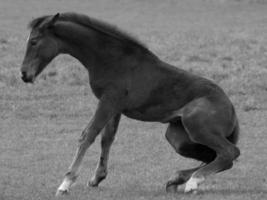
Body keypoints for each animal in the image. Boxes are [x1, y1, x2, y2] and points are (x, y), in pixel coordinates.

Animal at [21, 12, 242, 195]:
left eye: (34, 41)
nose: (24, 74)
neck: (111, 59)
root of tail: (231, 109)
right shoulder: (114, 107)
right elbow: (107, 138)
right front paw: (97, 178)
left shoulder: (108, 102)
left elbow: (88, 135)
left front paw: (65, 184)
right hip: (177, 138)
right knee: (216, 156)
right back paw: (176, 179)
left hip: (196, 126)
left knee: (229, 152)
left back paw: (193, 182)